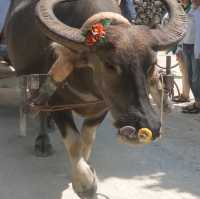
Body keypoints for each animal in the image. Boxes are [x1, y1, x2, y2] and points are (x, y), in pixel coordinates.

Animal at [3, 0, 187, 197]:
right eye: (109, 64)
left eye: (151, 64)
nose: (148, 126)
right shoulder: (58, 103)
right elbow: (74, 141)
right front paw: (85, 184)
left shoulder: (102, 107)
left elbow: (87, 139)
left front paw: (87, 169)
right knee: (41, 110)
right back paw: (43, 141)